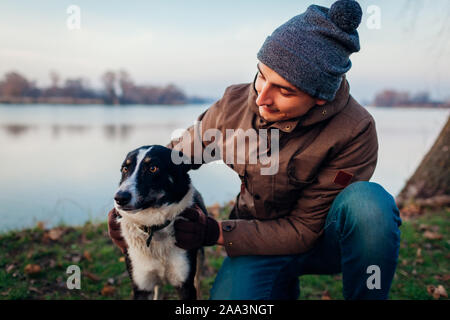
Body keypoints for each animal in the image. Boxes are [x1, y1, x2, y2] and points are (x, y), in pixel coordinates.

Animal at [112, 145, 206, 300]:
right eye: (125, 169)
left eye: (153, 168)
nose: (119, 198)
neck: (153, 227)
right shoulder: (141, 286)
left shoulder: (185, 285)